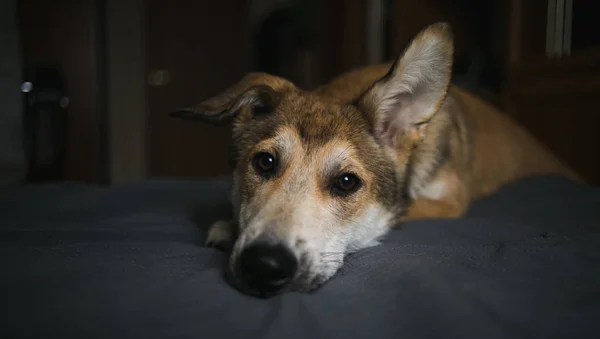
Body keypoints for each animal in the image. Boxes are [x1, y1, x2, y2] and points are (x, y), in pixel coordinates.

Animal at [169, 22, 580, 298]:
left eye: (347, 182)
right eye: (265, 162)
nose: (263, 266)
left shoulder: (450, 199)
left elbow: (396, 215)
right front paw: (228, 226)